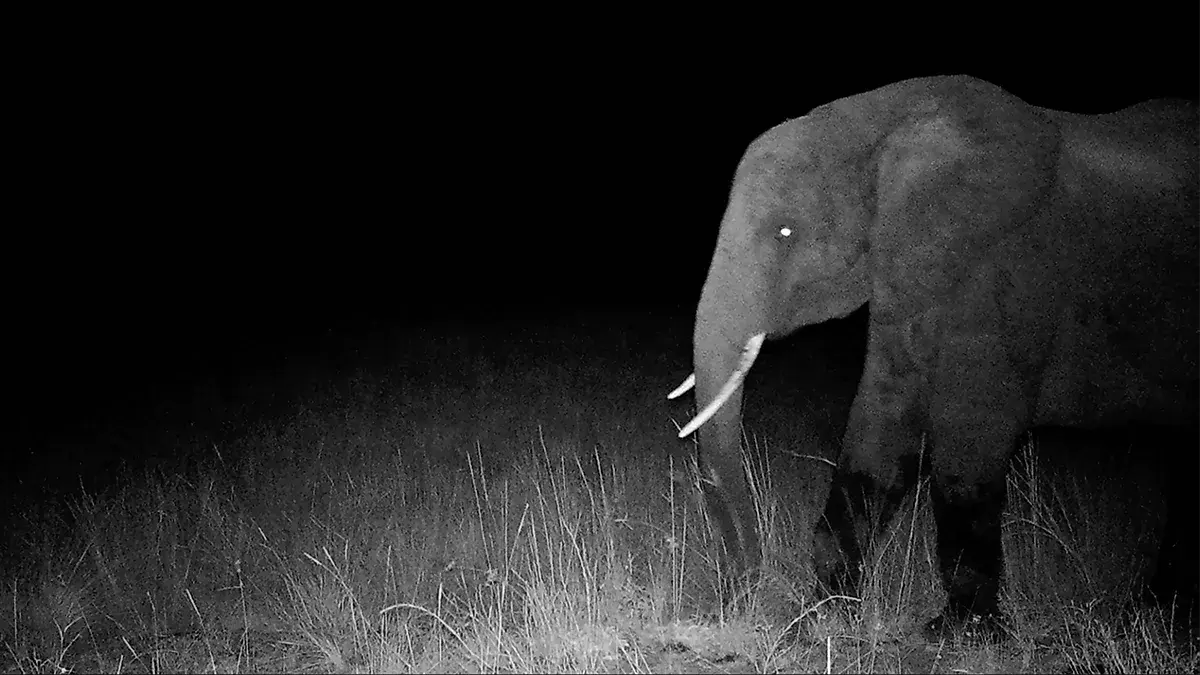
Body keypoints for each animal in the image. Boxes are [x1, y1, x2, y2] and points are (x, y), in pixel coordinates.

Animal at [669, 75, 1199, 620]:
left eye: (785, 232)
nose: (744, 589)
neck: (880, 122)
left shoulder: (1004, 271)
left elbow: (972, 436)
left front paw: (957, 629)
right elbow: (882, 422)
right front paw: (825, 614)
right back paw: (1156, 608)